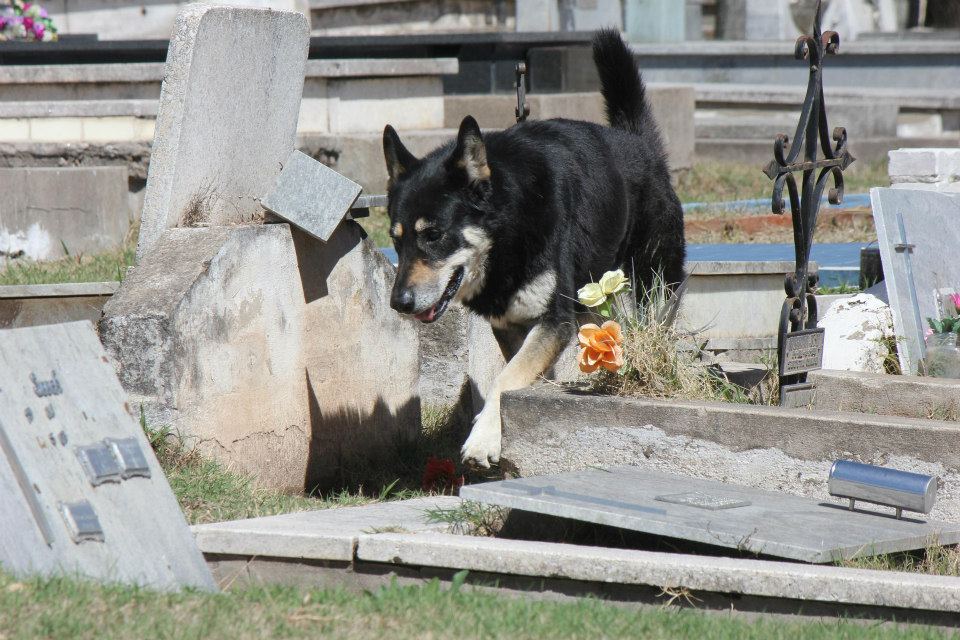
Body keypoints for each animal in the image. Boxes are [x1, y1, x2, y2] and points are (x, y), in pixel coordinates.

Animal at [378, 30, 688, 468]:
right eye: (395, 239)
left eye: (434, 235)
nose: (399, 303)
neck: (510, 228)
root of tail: (638, 141)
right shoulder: (512, 324)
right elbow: (515, 373)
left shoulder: (552, 319)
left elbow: (504, 380)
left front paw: (483, 438)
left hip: (653, 286)